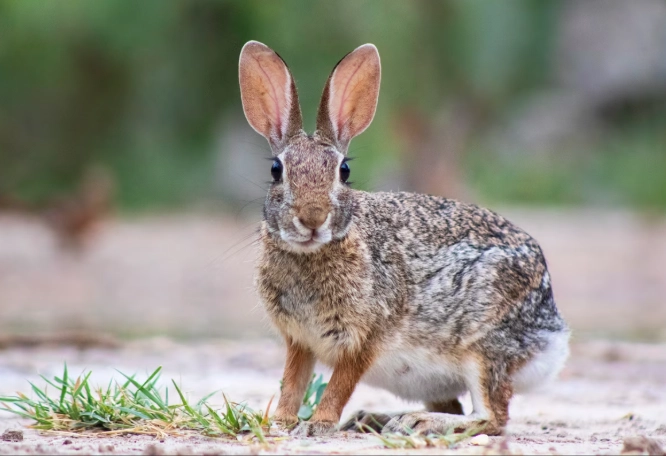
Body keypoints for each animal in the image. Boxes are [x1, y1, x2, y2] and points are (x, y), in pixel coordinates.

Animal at [238, 41, 570, 437]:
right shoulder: (300, 341)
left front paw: (319, 425)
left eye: (343, 171)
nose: (312, 219)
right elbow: (293, 381)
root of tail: (553, 332)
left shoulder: (365, 338)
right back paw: (376, 419)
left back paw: (417, 421)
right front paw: (281, 422)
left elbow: (339, 385)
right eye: (276, 170)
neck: (315, 251)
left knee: (491, 417)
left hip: (483, 347)